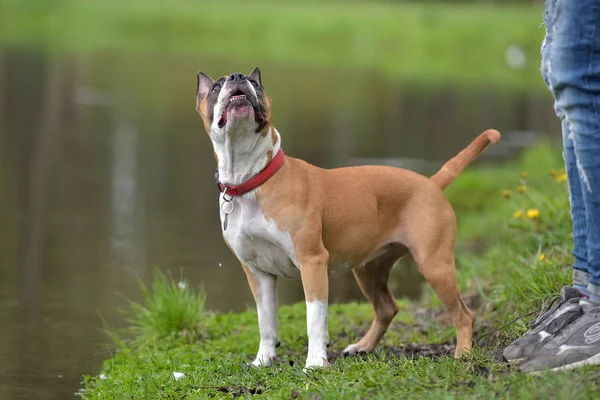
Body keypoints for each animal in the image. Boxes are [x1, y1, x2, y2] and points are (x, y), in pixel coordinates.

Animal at [195, 67, 500, 370]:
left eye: (255, 83)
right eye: (216, 87)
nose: (237, 77)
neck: (253, 179)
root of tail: (431, 184)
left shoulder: (312, 262)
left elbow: (315, 318)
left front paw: (316, 363)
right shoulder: (258, 273)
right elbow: (266, 322)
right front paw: (262, 360)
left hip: (434, 265)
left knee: (464, 315)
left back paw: (463, 353)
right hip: (368, 270)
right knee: (388, 308)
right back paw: (362, 346)